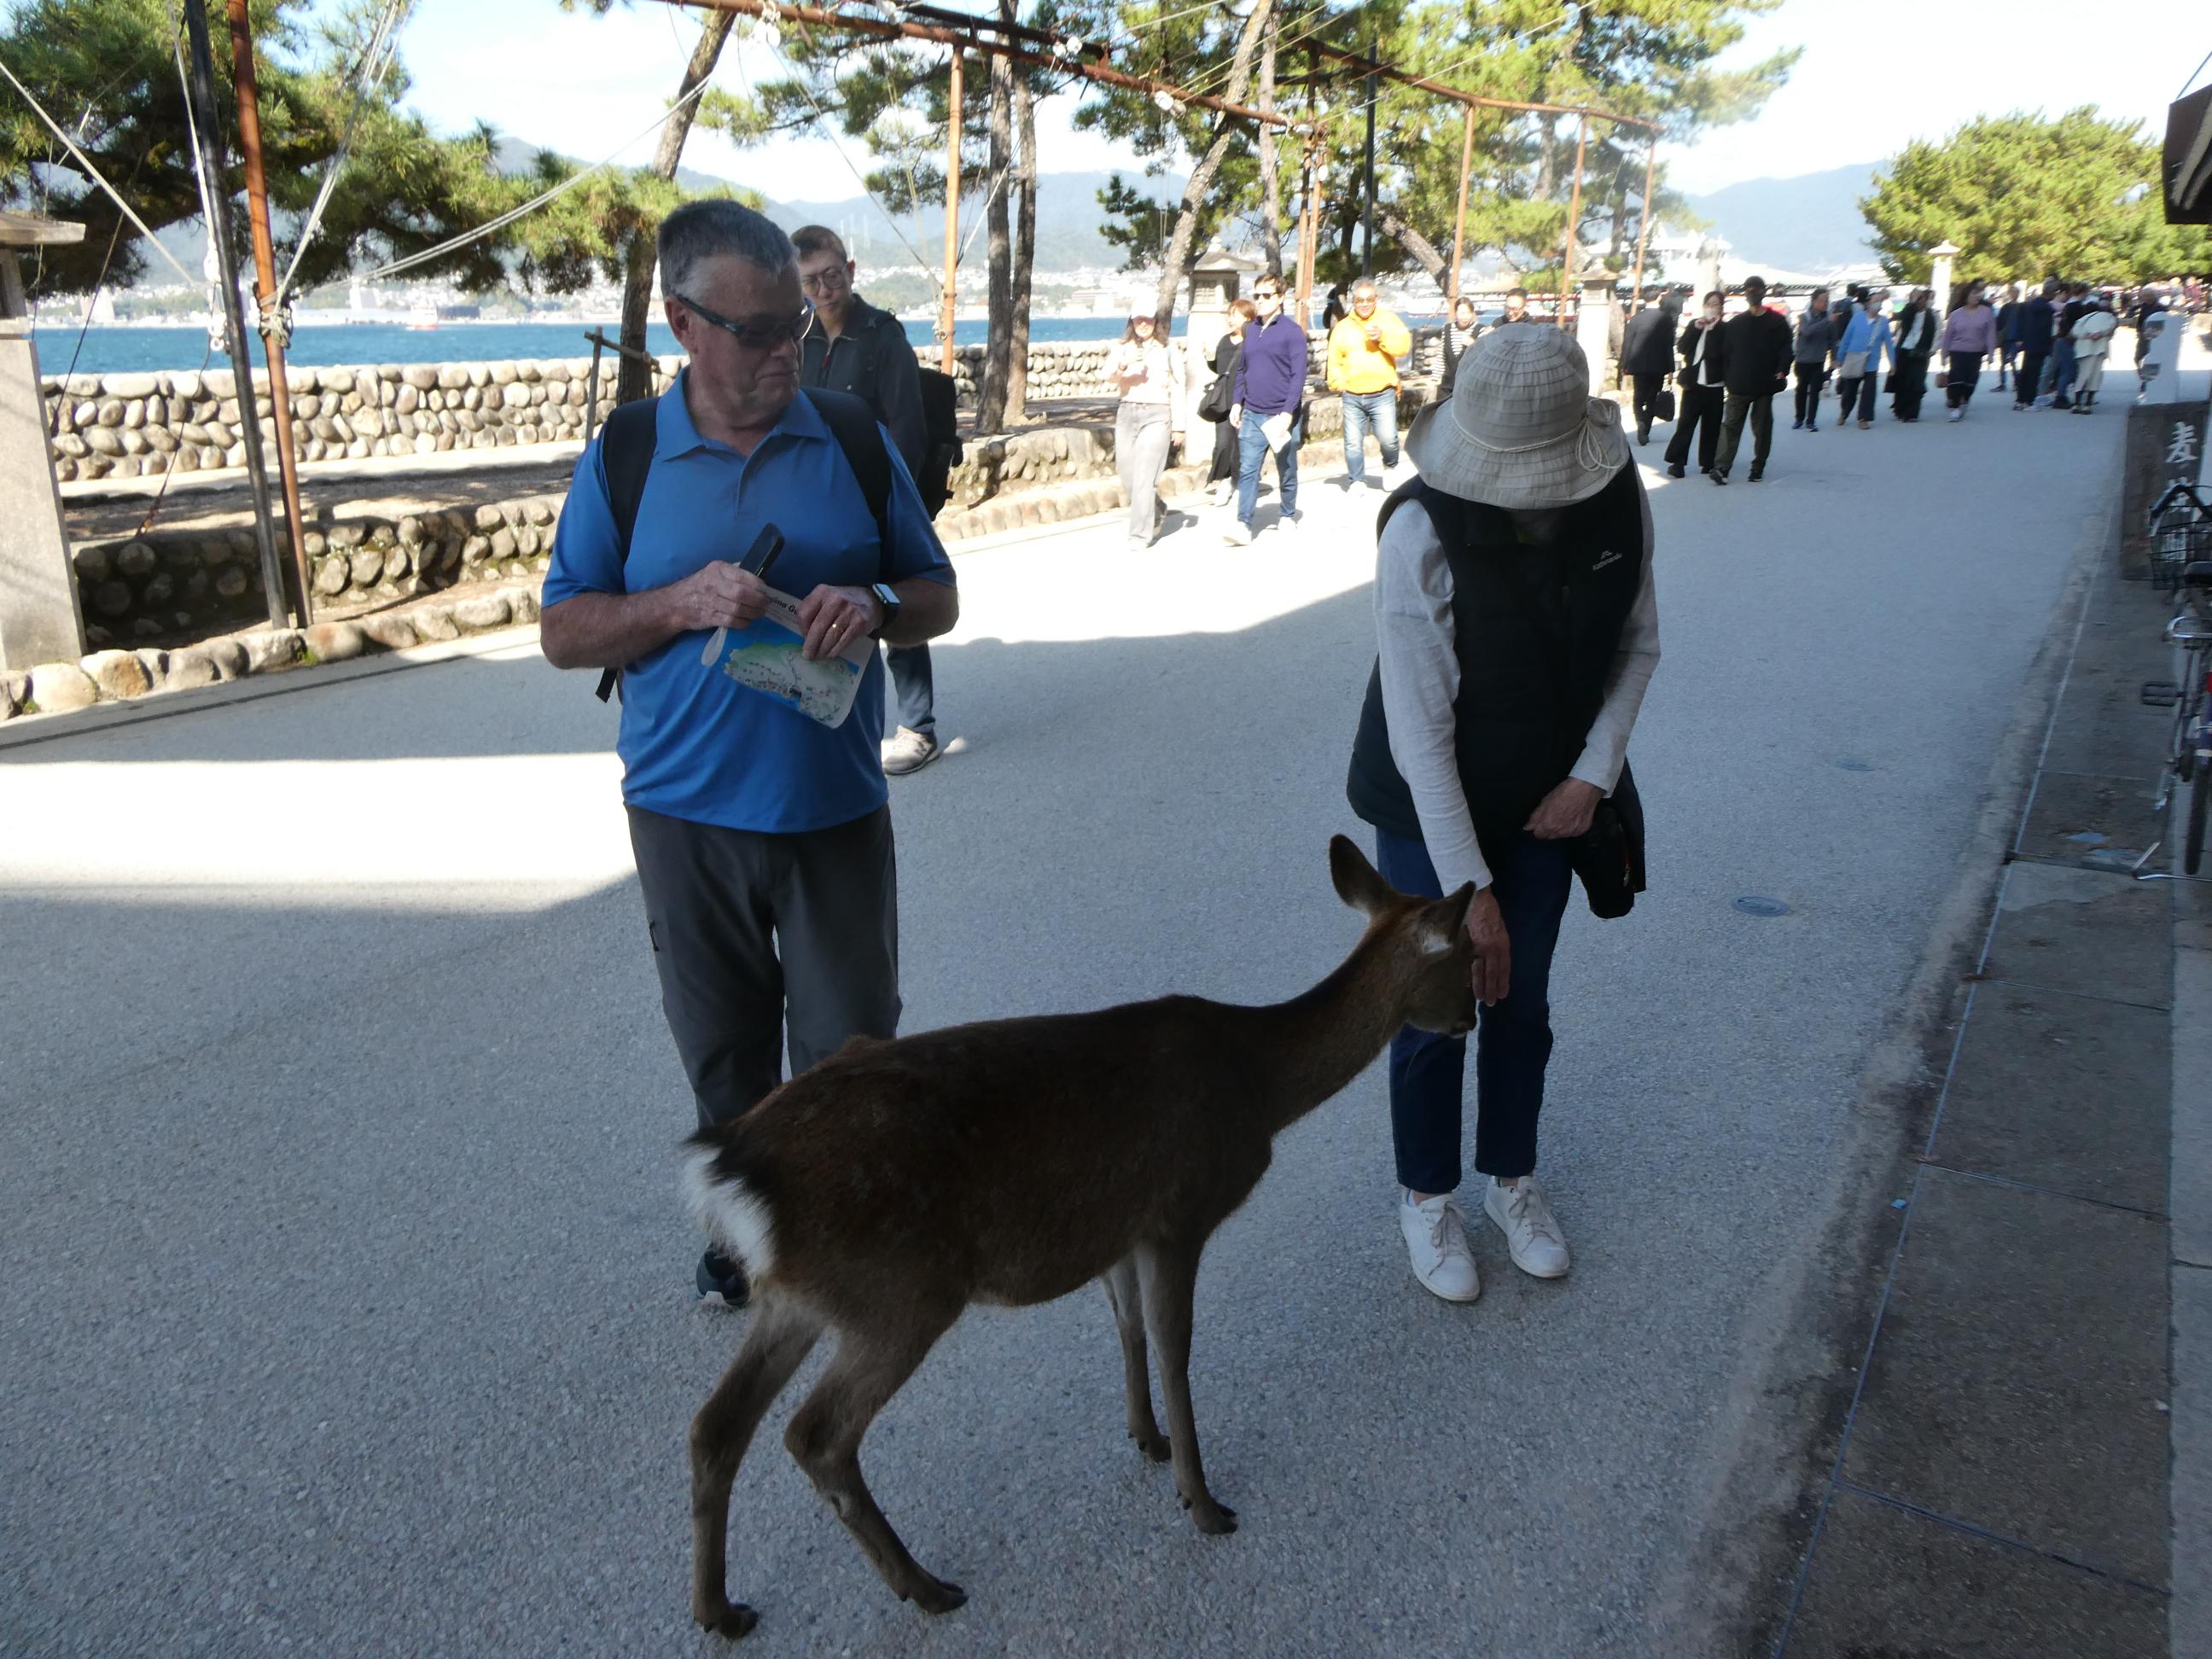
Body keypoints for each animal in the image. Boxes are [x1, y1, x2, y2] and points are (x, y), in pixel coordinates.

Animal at [677, 834, 1479, 1639]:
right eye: (1469, 955)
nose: (1474, 1017)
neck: (1260, 1088)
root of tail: (732, 1169)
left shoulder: (1118, 1228)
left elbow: (1127, 1327)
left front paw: (1148, 1440)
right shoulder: (1180, 1212)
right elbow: (1175, 1347)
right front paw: (1203, 1502)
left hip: (798, 1296)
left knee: (716, 1425)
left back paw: (719, 1608)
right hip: (899, 1291)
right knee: (816, 1434)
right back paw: (925, 1586)